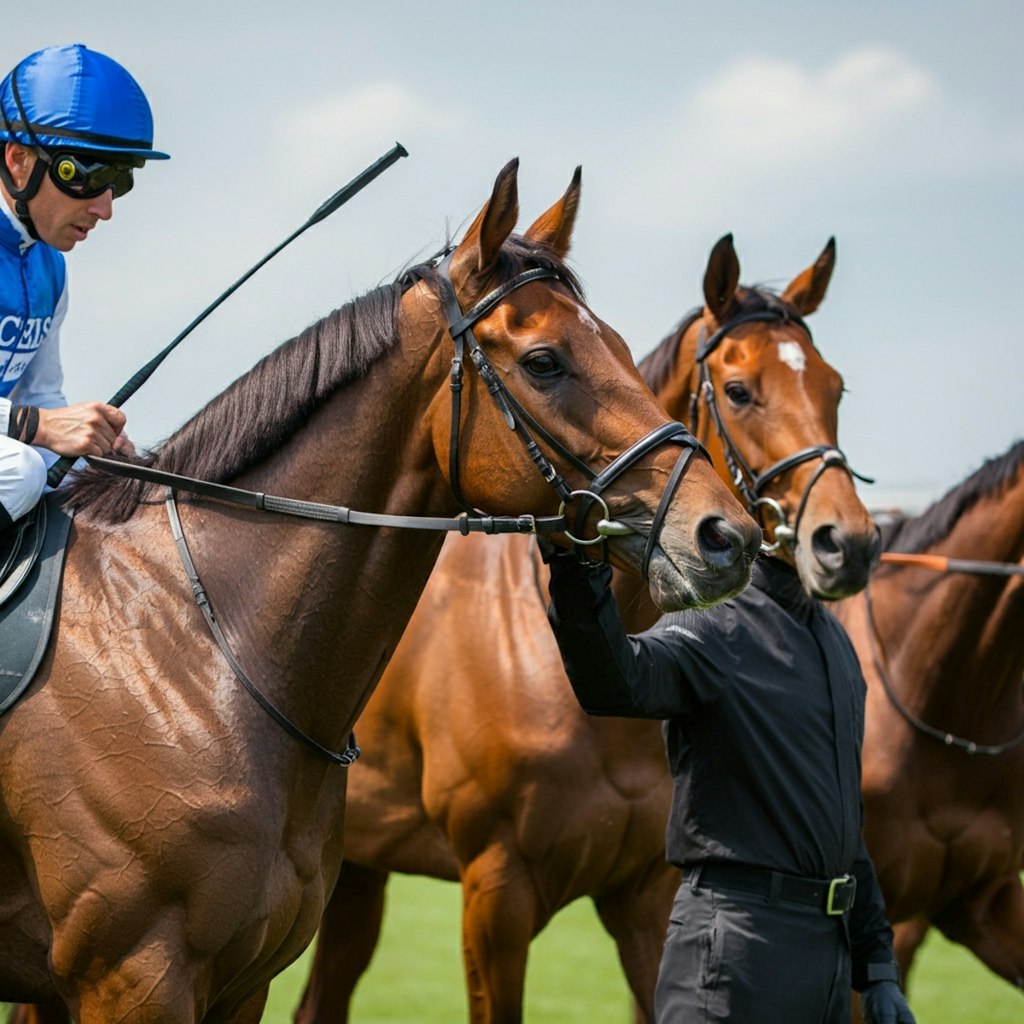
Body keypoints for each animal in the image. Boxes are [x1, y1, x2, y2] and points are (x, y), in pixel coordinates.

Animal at [0, 163, 761, 1019]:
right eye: (544, 361)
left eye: (626, 350)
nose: (725, 535)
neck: (194, 655)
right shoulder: (134, 976)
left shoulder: (242, 978)